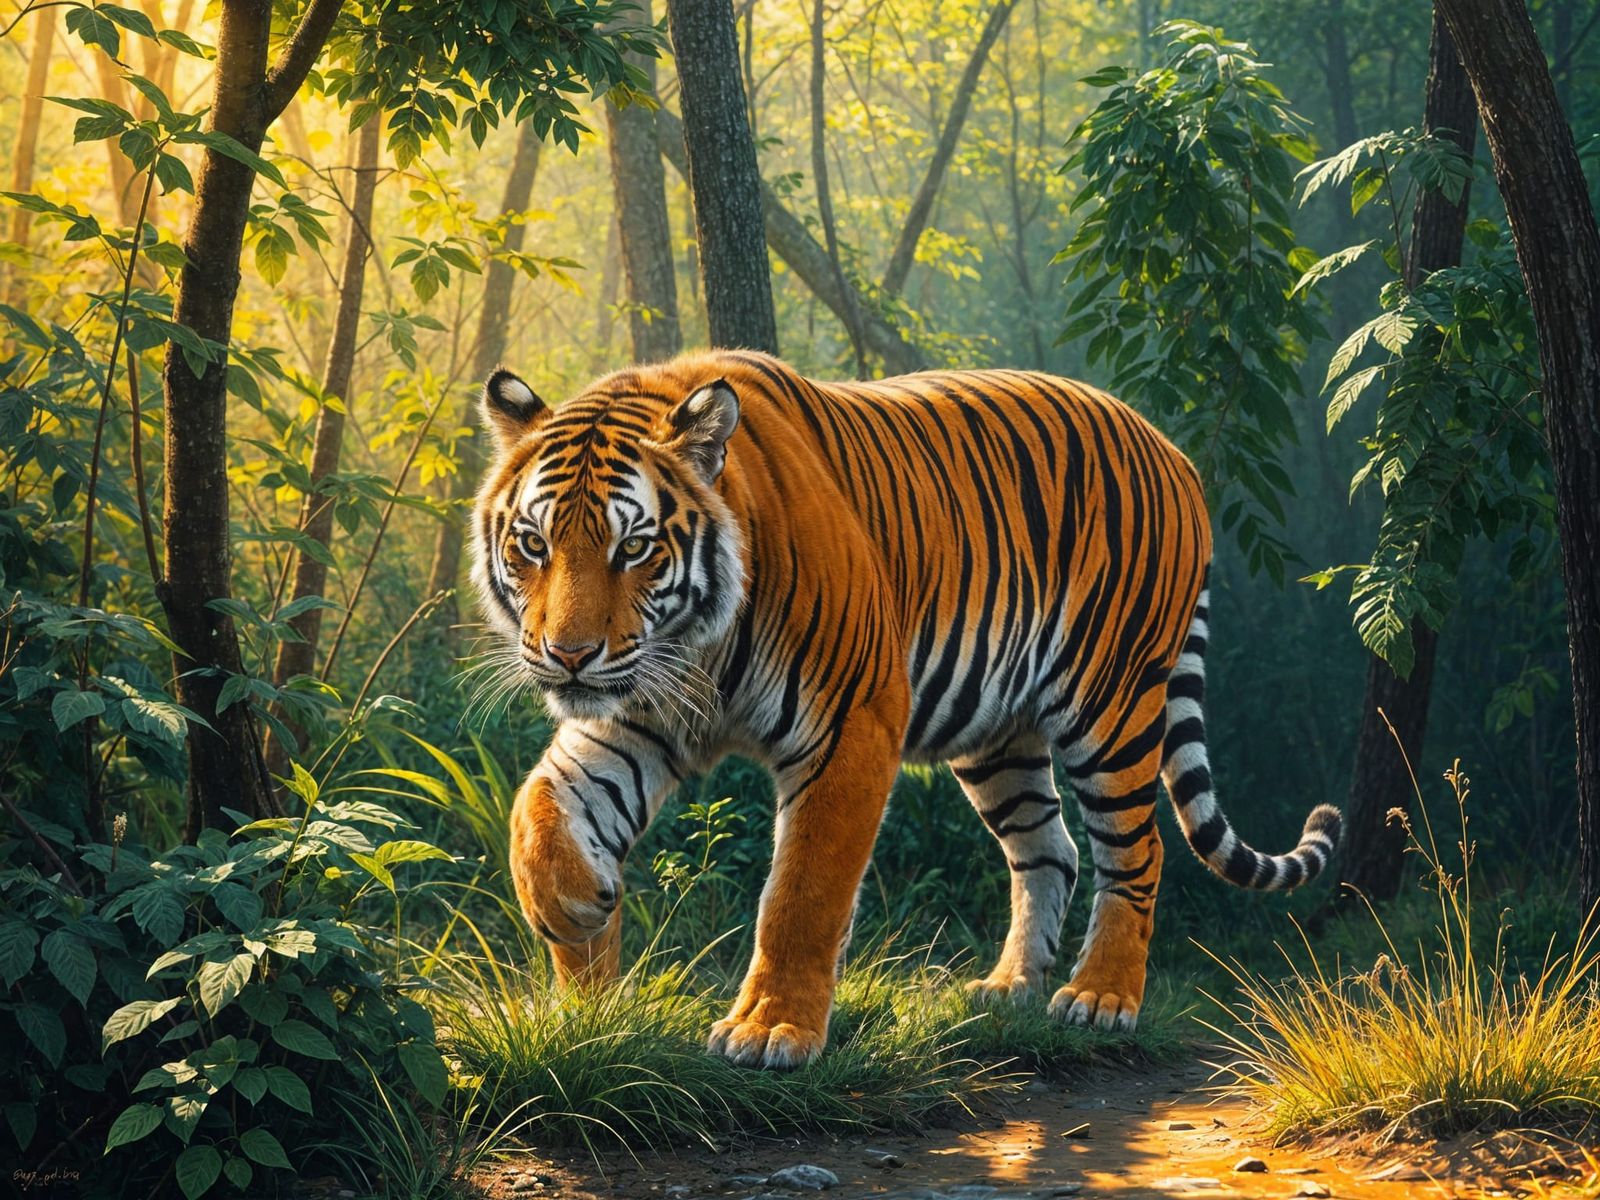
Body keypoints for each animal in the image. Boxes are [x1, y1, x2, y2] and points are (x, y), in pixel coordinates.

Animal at [472, 349, 1341, 1070]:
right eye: (534, 544)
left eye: (635, 548)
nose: (569, 654)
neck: (695, 647)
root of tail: (1173, 451)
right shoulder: (632, 715)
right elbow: (537, 808)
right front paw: (577, 921)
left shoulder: (850, 722)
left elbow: (802, 892)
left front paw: (770, 1030)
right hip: (997, 734)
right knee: (1049, 848)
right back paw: (1010, 988)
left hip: (1113, 703)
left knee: (1137, 849)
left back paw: (1100, 997)